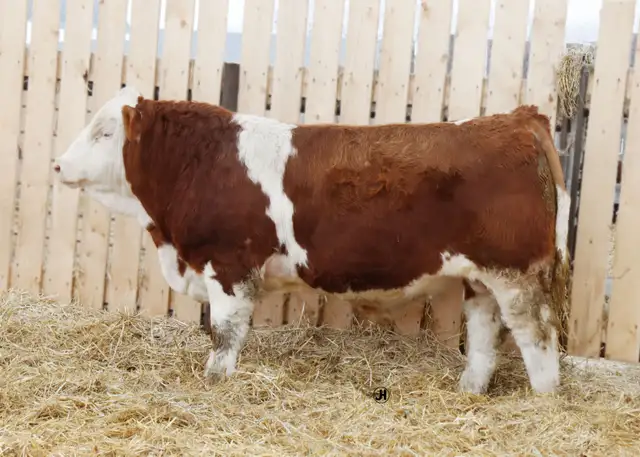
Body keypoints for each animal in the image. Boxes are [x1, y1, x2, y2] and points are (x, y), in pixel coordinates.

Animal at [53, 86, 571, 395]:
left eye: (103, 132)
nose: (58, 164)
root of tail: (517, 119)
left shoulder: (230, 266)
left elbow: (225, 332)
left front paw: (216, 380)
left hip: (517, 273)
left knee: (538, 336)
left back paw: (543, 399)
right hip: (482, 277)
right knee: (485, 333)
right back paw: (470, 389)